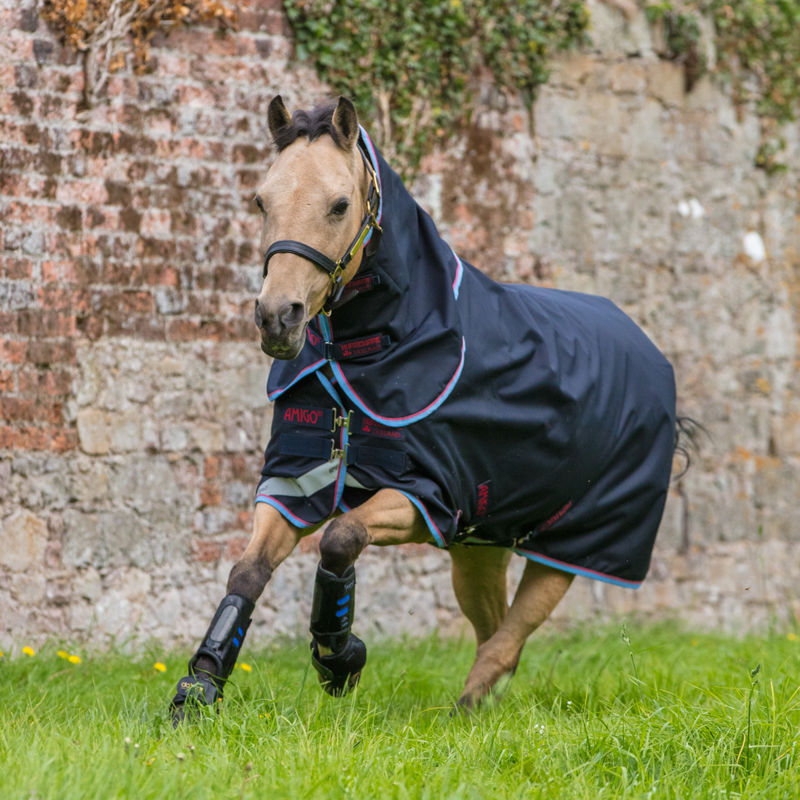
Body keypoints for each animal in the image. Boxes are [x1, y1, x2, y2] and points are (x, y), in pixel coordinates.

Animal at [170, 96, 678, 720]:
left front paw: (340, 657)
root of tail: (649, 350)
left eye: (339, 205)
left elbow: (340, 538)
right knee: (493, 630)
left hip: (575, 545)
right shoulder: (295, 481)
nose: (276, 318)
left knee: (509, 637)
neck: (375, 350)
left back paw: (465, 712)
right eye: (261, 200)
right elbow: (247, 571)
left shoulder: (427, 496)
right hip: (481, 547)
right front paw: (200, 687)